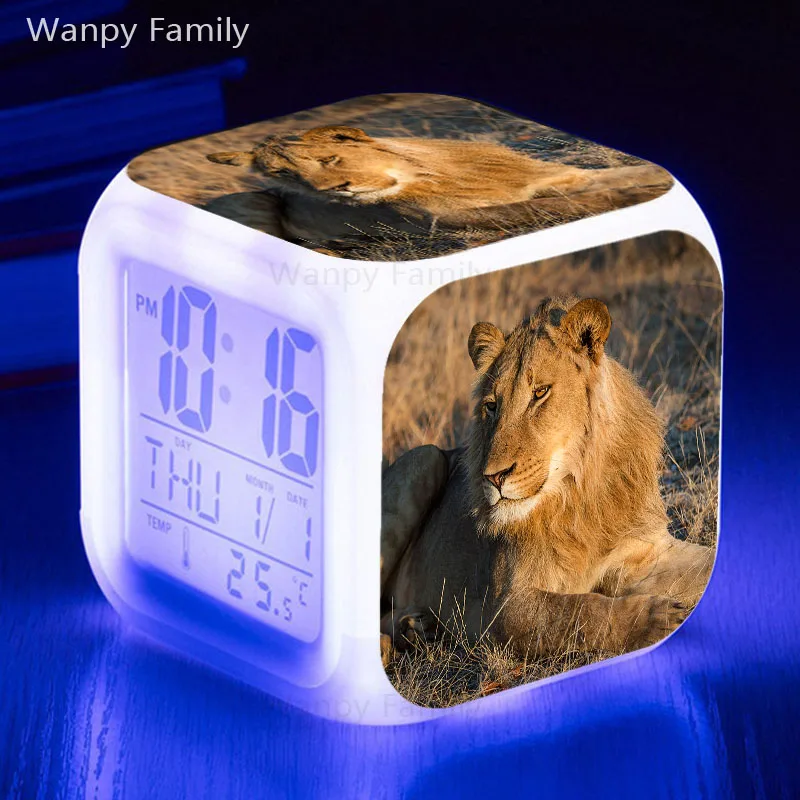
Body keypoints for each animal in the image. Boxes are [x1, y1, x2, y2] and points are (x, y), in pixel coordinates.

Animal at [204, 126, 671, 251]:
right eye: (286, 177)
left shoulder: (555, 177)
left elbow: (623, 174)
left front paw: (659, 183)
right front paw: (632, 198)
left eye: (330, 160)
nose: (339, 190)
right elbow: (585, 200)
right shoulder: (451, 221)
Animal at [380, 296, 714, 667]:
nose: (493, 476)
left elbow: (706, 562)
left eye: (540, 392)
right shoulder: (505, 608)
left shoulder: (643, 554)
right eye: (491, 406)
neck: (580, 493)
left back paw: (417, 628)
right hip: (424, 457)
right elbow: (580, 611)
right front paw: (660, 619)